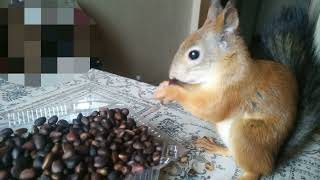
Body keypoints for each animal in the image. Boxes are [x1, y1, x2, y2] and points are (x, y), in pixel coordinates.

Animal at [154, 0, 320, 179]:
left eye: (193, 54)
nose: (171, 74)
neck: (226, 67)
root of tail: (272, 160)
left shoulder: (235, 91)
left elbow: (210, 109)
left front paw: (171, 92)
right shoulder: (203, 86)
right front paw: (166, 86)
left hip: (246, 134)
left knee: (255, 171)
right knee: (233, 154)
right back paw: (213, 146)